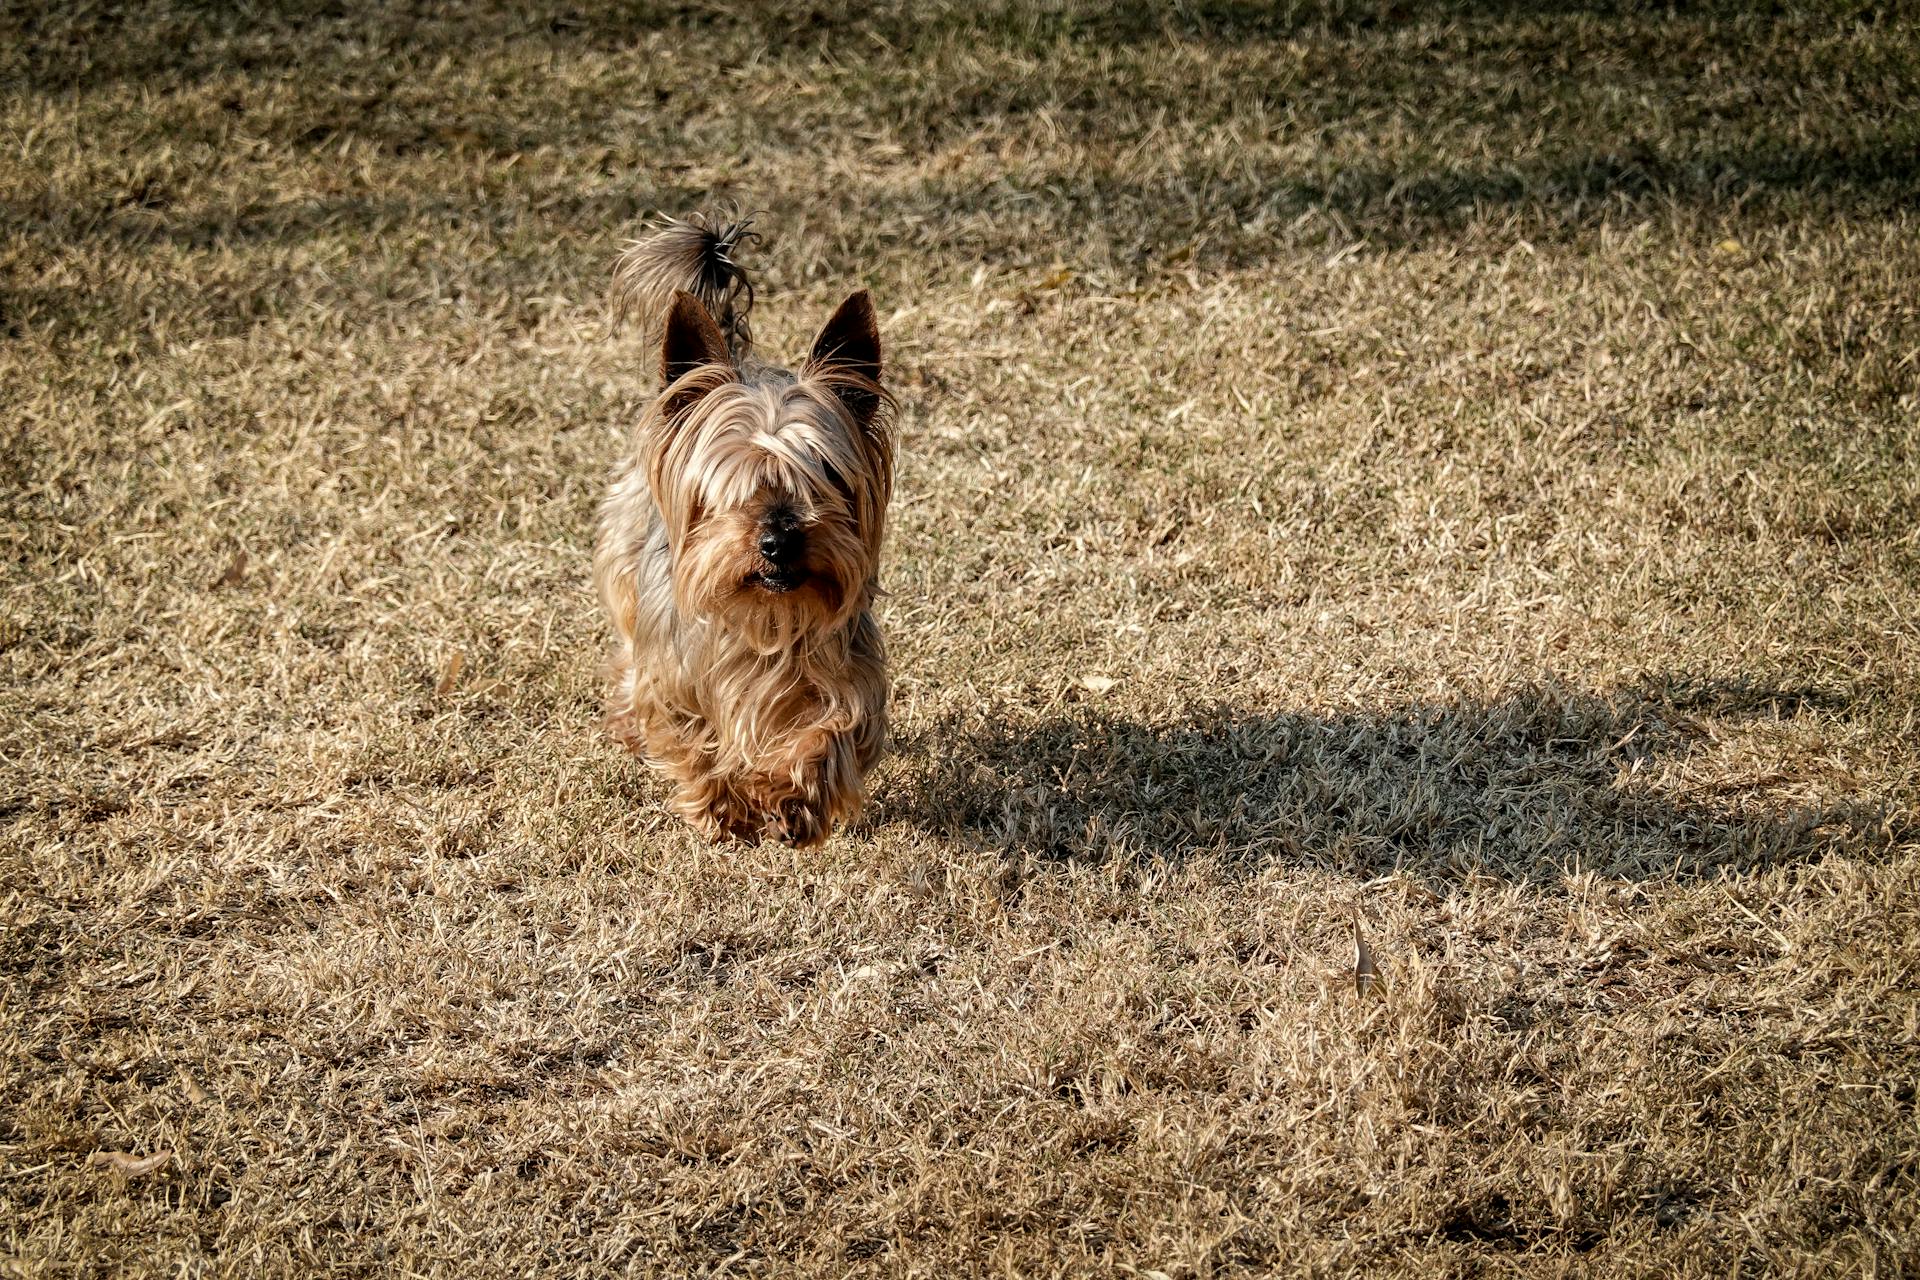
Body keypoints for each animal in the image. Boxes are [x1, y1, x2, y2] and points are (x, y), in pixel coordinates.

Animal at [587, 213, 894, 844]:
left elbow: (836, 729)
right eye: (730, 481)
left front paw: (794, 799)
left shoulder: (850, 674)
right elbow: (688, 734)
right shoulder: (673, 668)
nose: (778, 542)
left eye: (826, 474)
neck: (766, 618)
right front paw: (723, 806)